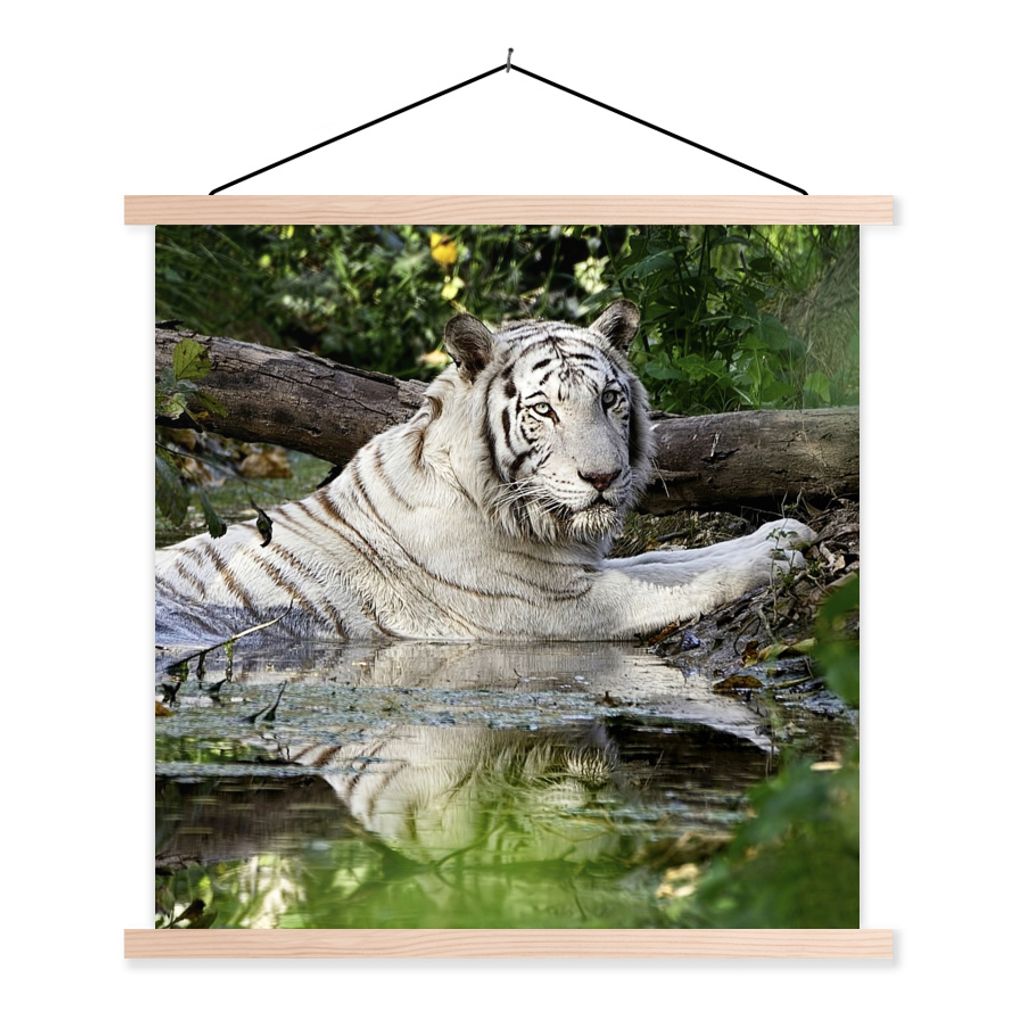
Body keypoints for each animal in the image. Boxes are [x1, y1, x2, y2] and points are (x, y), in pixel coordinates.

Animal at [155, 299, 813, 645]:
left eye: (609, 399)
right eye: (544, 410)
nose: (603, 479)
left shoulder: (581, 569)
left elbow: (675, 560)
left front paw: (787, 534)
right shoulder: (556, 607)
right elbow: (685, 584)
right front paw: (775, 557)